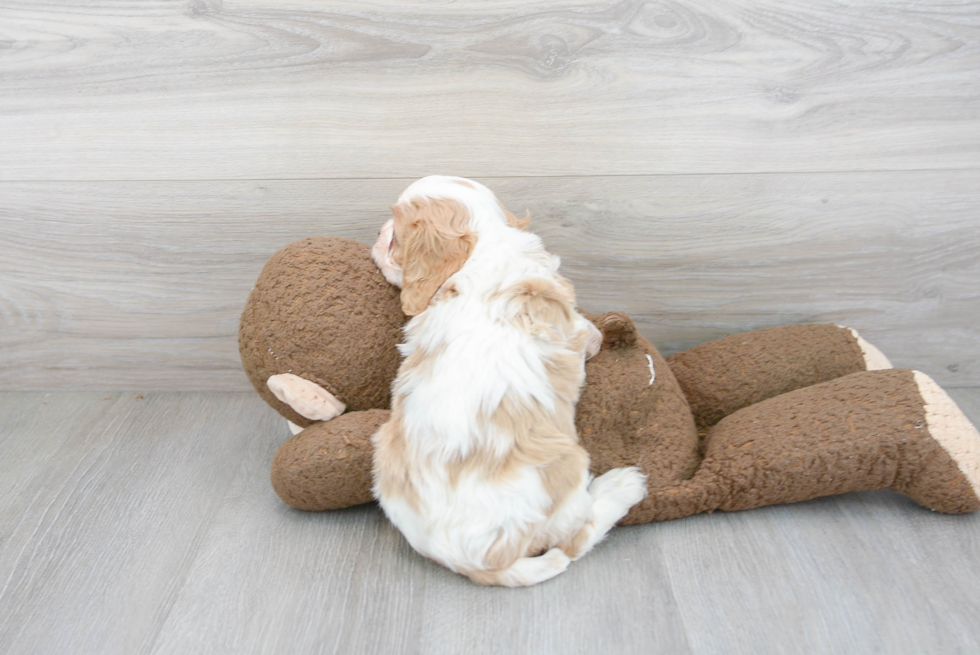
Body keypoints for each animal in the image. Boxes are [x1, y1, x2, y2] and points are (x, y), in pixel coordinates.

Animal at [368, 176, 644, 588]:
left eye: (393, 238)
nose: (377, 234)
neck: (487, 240)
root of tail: (473, 561)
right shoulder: (573, 326)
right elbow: (587, 332)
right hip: (568, 471)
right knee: (574, 540)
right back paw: (623, 486)